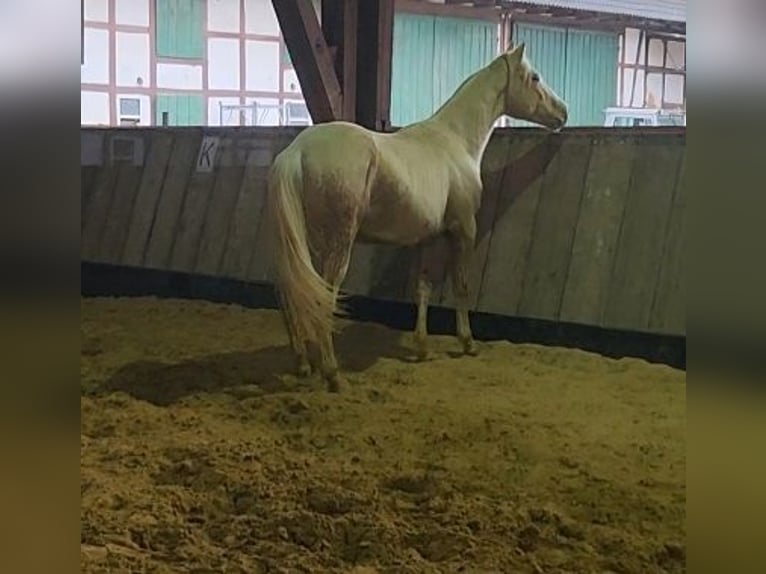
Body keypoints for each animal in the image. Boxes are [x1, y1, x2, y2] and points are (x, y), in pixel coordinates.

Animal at [270, 41, 568, 392]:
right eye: (534, 77)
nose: (563, 112)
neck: (454, 140)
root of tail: (296, 152)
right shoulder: (463, 230)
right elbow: (461, 285)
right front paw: (467, 342)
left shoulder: (427, 238)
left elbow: (422, 287)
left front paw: (422, 347)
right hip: (337, 243)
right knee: (323, 297)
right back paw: (332, 374)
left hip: (304, 243)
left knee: (295, 292)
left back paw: (304, 364)